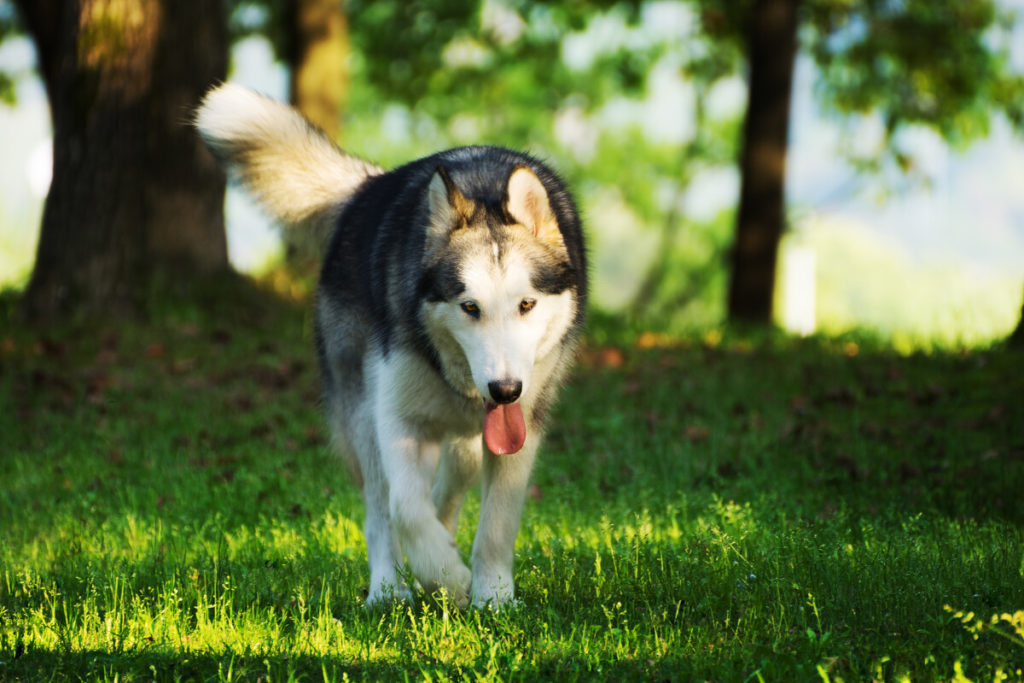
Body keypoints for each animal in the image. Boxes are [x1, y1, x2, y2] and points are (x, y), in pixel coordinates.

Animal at [195, 85, 589, 610]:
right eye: (469, 307)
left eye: (526, 304)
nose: (504, 389)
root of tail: (369, 187)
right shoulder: (396, 419)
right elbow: (404, 508)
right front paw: (447, 577)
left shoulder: (520, 425)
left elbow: (497, 524)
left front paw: (493, 597)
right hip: (361, 414)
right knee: (381, 509)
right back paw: (388, 588)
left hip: (465, 440)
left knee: (448, 487)